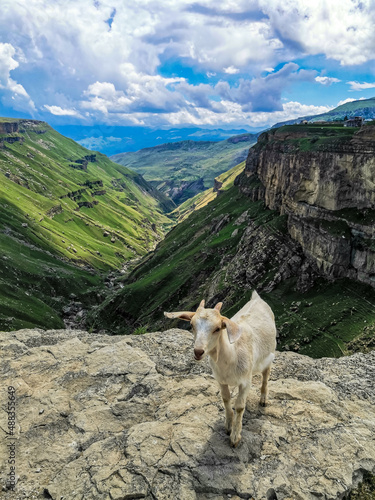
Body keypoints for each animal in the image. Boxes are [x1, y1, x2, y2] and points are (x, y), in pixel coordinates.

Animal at [164, 292, 276, 448]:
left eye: (217, 328)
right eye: (191, 325)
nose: (198, 351)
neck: (231, 356)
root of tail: (257, 298)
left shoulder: (245, 381)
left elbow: (240, 406)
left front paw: (235, 437)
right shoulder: (220, 379)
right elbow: (225, 399)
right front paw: (228, 426)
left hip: (270, 353)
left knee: (266, 374)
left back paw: (264, 399)